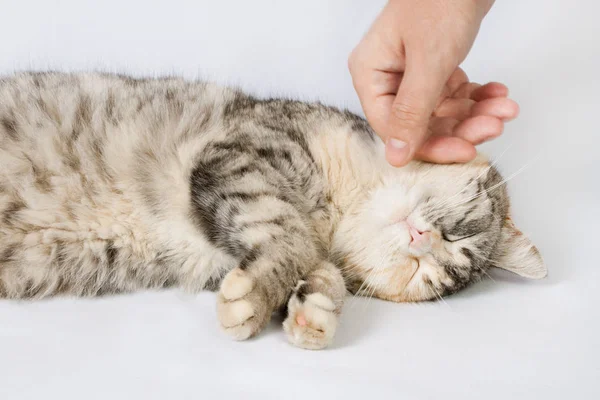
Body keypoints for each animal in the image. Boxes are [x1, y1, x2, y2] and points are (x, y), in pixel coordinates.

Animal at [0, 72, 544, 350]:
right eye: (459, 232)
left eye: (426, 276)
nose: (421, 240)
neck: (335, 207)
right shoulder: (241, 152)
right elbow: (291, 238)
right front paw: (257, 297)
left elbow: (320, 269)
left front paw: (315, 311)